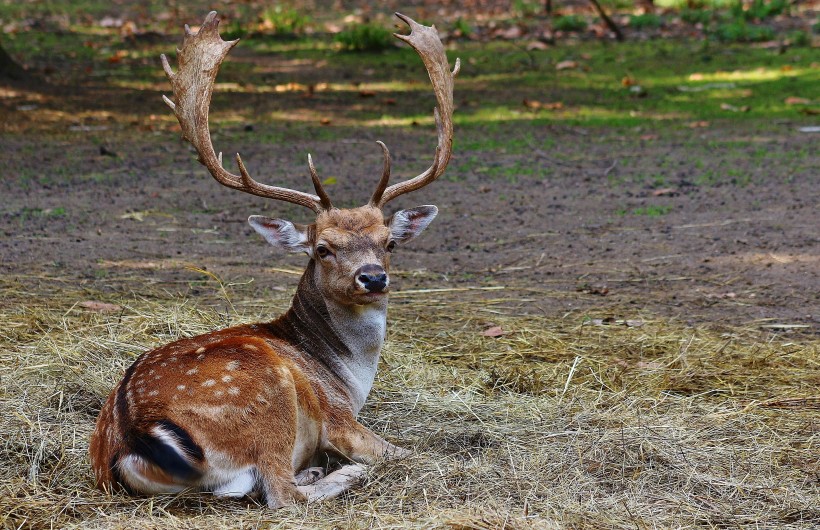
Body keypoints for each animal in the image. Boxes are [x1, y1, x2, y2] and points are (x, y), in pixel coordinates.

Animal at [90, 11, 462, 508]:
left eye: (389, 242)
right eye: (323, 248)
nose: (372, 278)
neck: (346, 375)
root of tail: (136, 433)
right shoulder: (339, 418)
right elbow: (409, 453)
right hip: (269, 399)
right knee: (282, 492)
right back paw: (339, 473)